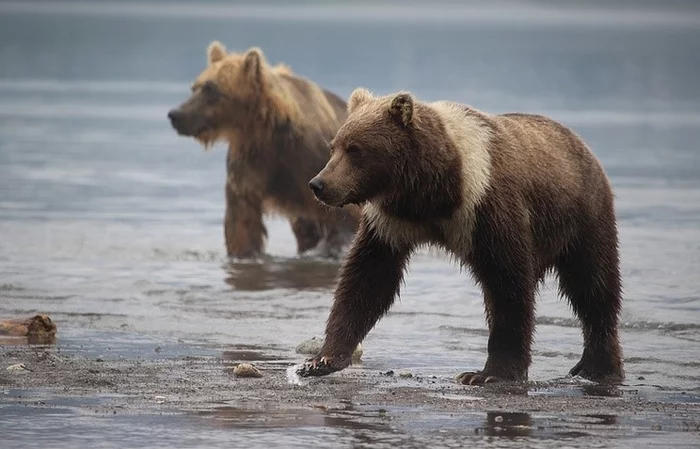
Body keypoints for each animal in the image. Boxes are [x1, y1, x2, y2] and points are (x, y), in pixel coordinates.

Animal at [167, 43, 358, 260]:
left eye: (211, 89)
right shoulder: (251, 164)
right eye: (195, 87)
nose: (176, 114)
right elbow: (242, 220)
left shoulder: (317, 162)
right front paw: (243, 252)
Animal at [298, 88, 628, 384]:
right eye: (334, 146)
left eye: (355, 149)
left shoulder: (487, 207)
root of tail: (577, 139)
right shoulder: (390, 223)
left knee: (593, 284)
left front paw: (489, 373)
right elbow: (367, 280)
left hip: (583, 215)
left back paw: (598, 366)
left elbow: (507, 282)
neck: (430, 192)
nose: (319, 184)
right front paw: (321, 360)